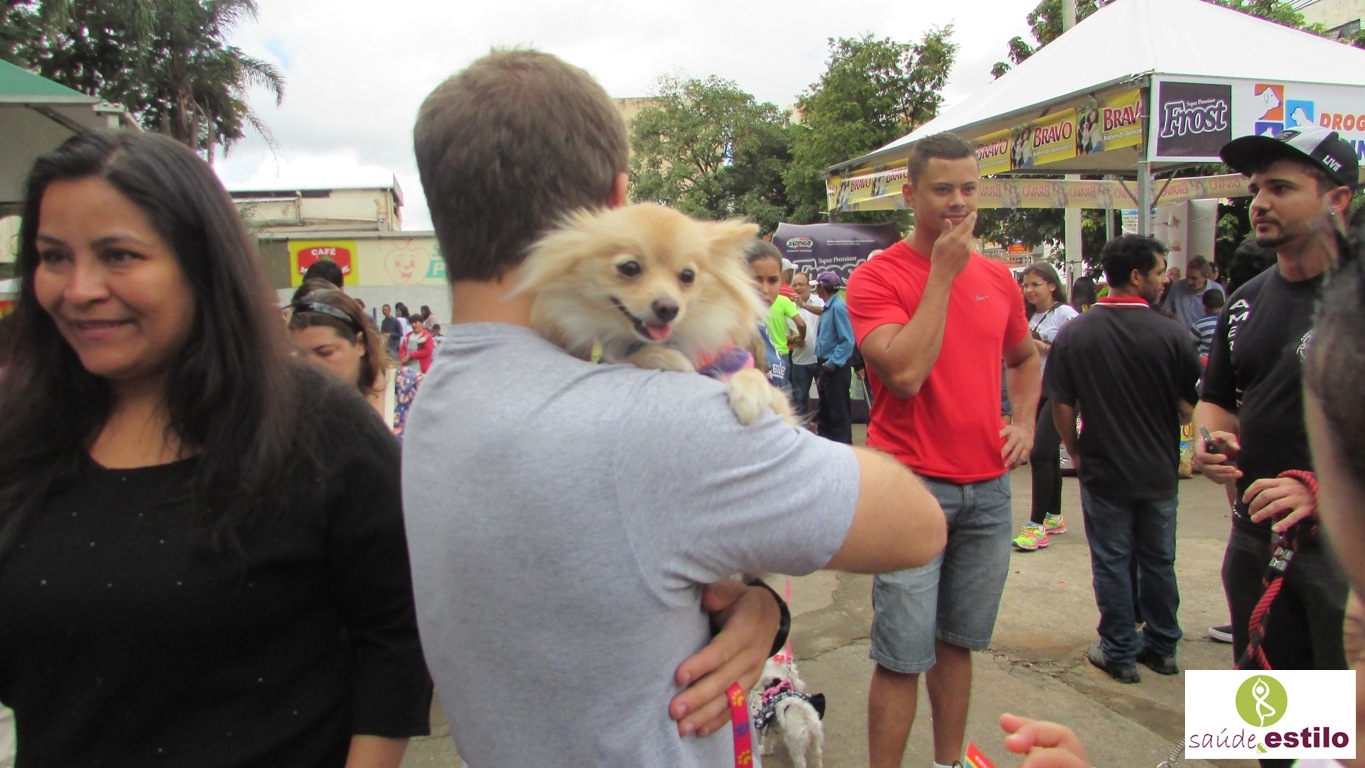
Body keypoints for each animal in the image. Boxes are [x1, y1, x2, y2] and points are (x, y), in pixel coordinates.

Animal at [514, 203, 794, 425]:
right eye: (629, 268)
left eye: (687, 276)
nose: (668, 307)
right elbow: (635, 356)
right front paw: (665, 358)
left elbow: (756, 377)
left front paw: (750, 393)